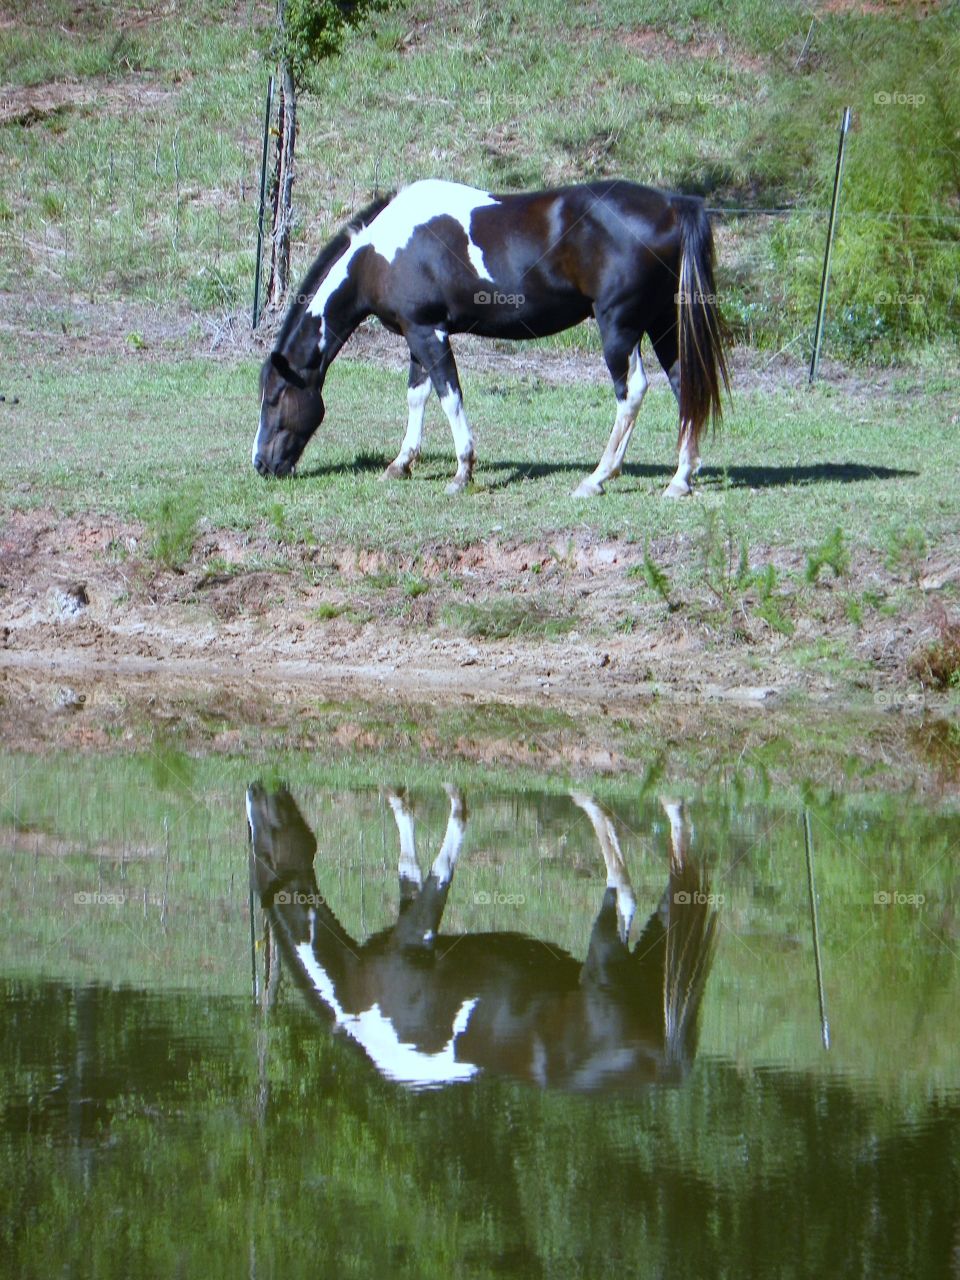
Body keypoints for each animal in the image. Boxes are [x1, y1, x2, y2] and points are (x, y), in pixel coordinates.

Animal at [246, 782, 719, 1093]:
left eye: (264, 845)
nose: (255, 788)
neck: (356, 1000)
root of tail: (661, 1066)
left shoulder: (419, 930)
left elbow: (447, 848)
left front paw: (451, 796)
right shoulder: (410, 916)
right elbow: (408, 859)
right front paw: (400, 799)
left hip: (604, 955)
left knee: (622, 885)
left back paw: (597, 799)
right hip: (643, 958)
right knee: (653, 891)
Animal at [253, 178, 730, 498]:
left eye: (274, 398)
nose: (261, 464)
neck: (382, 251)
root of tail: (674, 204)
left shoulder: (429, 332)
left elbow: (449, 397)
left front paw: (462, 473)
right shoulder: (415, 335)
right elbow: (417, 396)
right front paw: (401, 464)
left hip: (618, 327)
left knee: (632, 392)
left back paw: (597, 478)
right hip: (663, 324)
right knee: (683, 384)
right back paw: (680, 479)